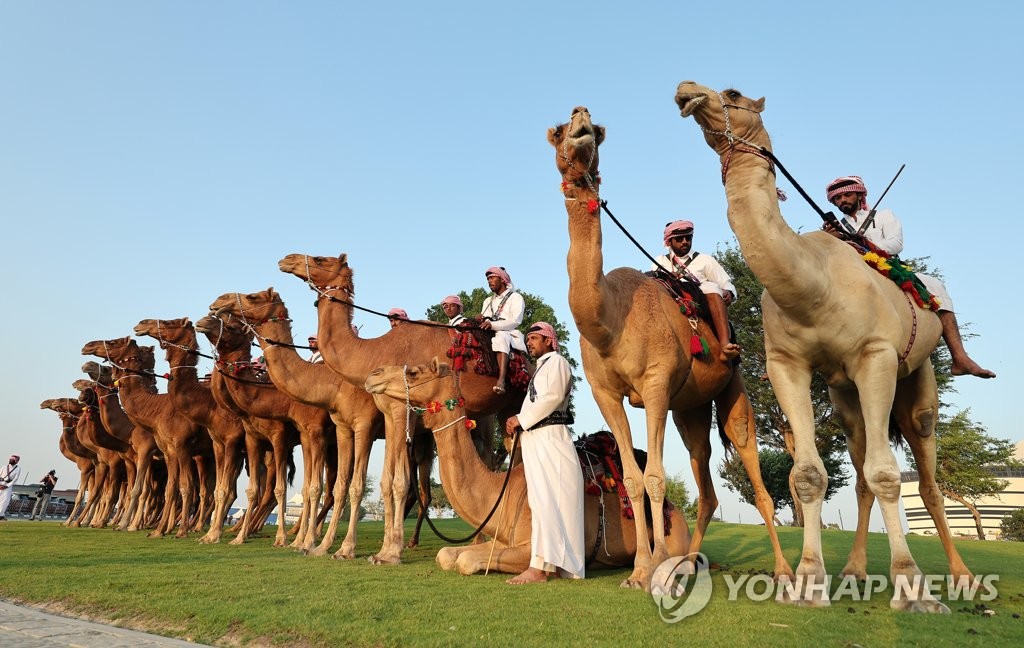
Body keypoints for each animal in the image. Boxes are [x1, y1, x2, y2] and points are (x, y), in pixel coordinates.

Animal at [193, 309, 333, 552]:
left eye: (233, 327)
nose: (203, 321)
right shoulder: (250, 441)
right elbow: (242, 490)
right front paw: (225, 536)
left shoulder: (277, 438)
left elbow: (277, 489)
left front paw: (280, 538)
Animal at [278, 252, 524, 565]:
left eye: (321, 259)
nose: (287, 259)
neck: (376, 352)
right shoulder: (388, 414)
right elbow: (386, 482)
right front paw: (378, 550)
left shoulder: (398, 411)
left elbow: (398, 482)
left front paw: (379, 552)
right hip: (495, 414)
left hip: (511, 403)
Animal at [364, 358, 692, 577]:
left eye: (415, 371)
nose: (374, 375)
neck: (504, 491)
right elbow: (447, 554)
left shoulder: (534, 544)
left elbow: (466, 561)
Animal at [548, 103, 786, 589]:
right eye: (560, 131)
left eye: (594, 130)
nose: (581, 116)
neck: (610, 320)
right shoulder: (605, 392)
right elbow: (633, 479)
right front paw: (640, 569)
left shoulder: (655, 384)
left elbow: (656, 477)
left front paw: (652, 567)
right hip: (689, 410)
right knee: (705, 479)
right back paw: (686, 566)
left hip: (732, 391)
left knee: (754, 472)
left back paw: (785, 571)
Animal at [671, 80, 966, 610]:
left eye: (733, 92)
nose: (687, 91)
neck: (815, 285)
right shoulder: (786, 364)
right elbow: (807, 474)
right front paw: (808, 582)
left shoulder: (875, 355)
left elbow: (889, 474)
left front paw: (912, 589)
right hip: (844, 395)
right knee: (861, 464)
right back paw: (853, 571)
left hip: (916, 376)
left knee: (927, 475)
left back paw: (961, 578)